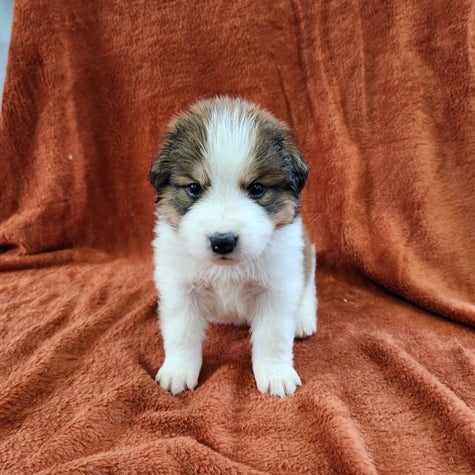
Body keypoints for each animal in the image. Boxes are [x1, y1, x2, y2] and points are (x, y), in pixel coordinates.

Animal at [151, 96, 318, 398]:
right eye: (194, 188)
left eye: (257, 189)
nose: (222, 241)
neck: (227, 269)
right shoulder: (181, 287)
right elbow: (182, 332)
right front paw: (178, 370)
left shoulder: (276, 287)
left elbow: (273, 335)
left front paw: (275, 373)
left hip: (306, 255)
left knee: (308, 286)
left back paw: (302, 318)